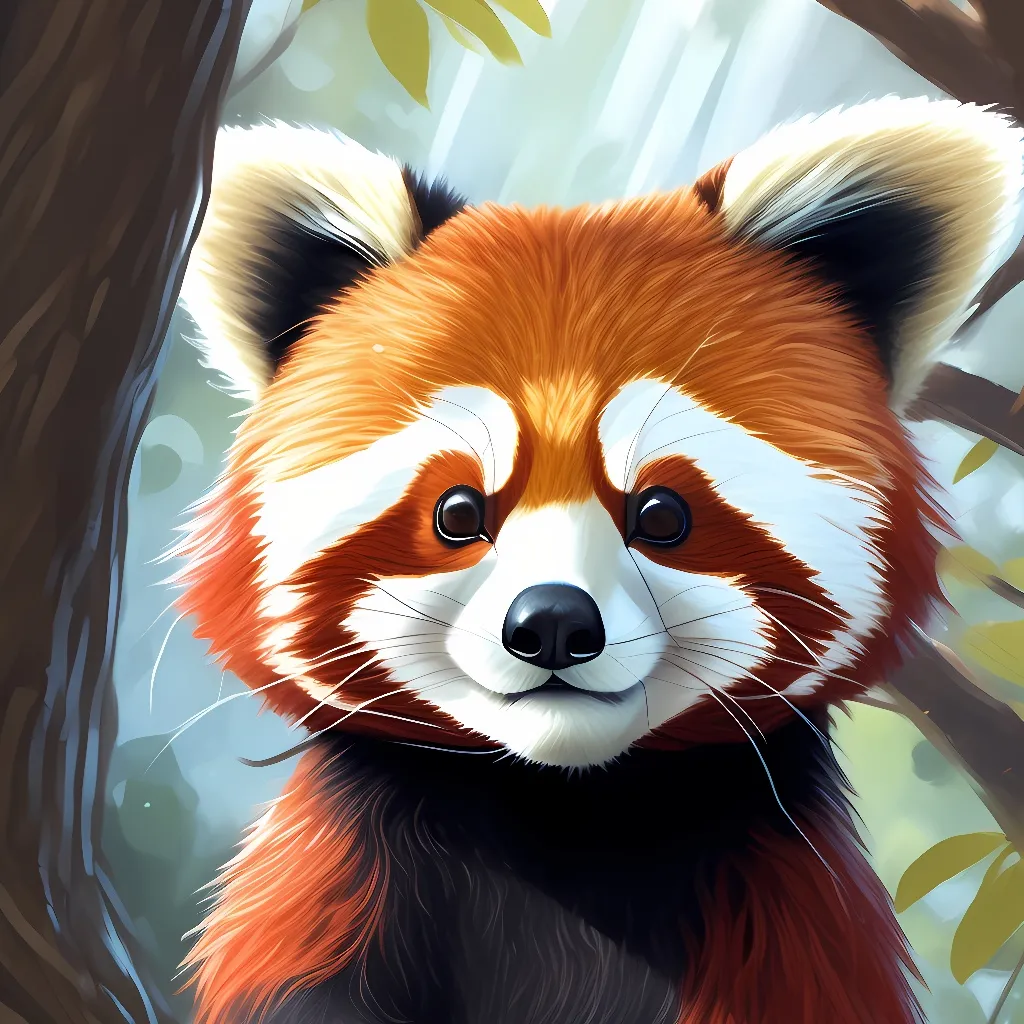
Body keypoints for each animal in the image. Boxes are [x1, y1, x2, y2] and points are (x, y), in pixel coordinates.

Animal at [172, 97, 1023, 1023]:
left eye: (661, 514)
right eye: (457, 513)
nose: (552, 623)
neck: (566, 809)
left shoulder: (786, 907)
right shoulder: (335, 881)